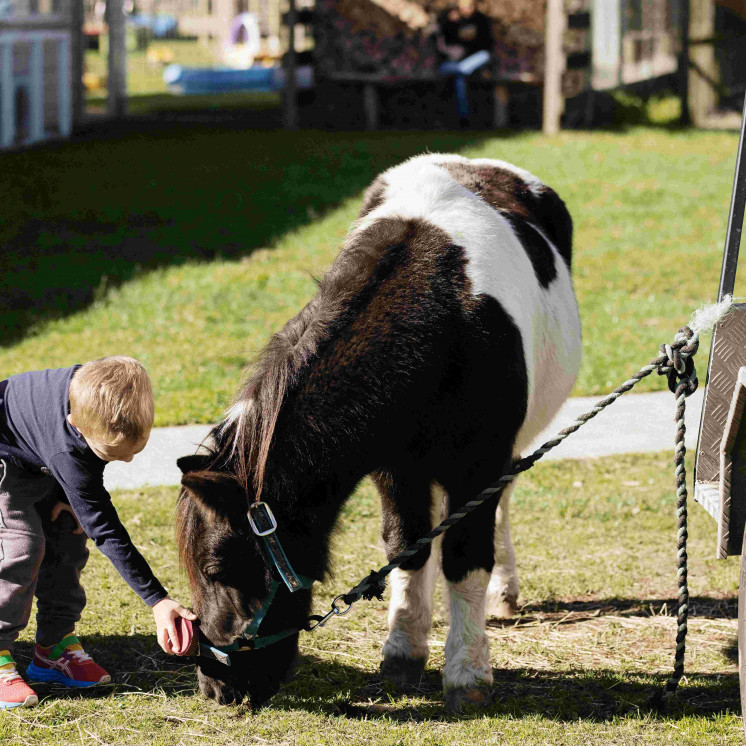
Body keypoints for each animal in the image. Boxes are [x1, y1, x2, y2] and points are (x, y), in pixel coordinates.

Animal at [176, 153, 582, 712]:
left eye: (216, 570)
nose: (215, 687)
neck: (447, 321)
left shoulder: (479, 464)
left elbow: (465, 556)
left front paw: (468, 672)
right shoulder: (395, 467)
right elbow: (407, 547)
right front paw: (403, 652)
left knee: (499, 510)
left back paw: (503, 592)